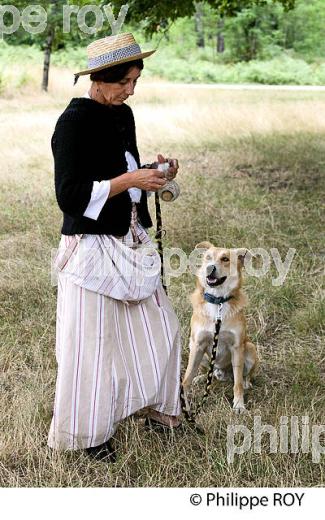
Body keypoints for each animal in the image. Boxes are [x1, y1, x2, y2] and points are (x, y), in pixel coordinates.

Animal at [181, 242, 256, 412]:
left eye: (225, 259)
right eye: (208, 257)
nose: (210, 268)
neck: (218, 302)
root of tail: (220, 372)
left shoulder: (237, 346)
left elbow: (237, 383)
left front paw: (239, 404)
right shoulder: (197, 344)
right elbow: (186, 378)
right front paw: (184, 406)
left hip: (250, 348)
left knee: (244, 376)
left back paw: (247, 383)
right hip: (195, 349)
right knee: (205, 371)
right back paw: (201, 378)